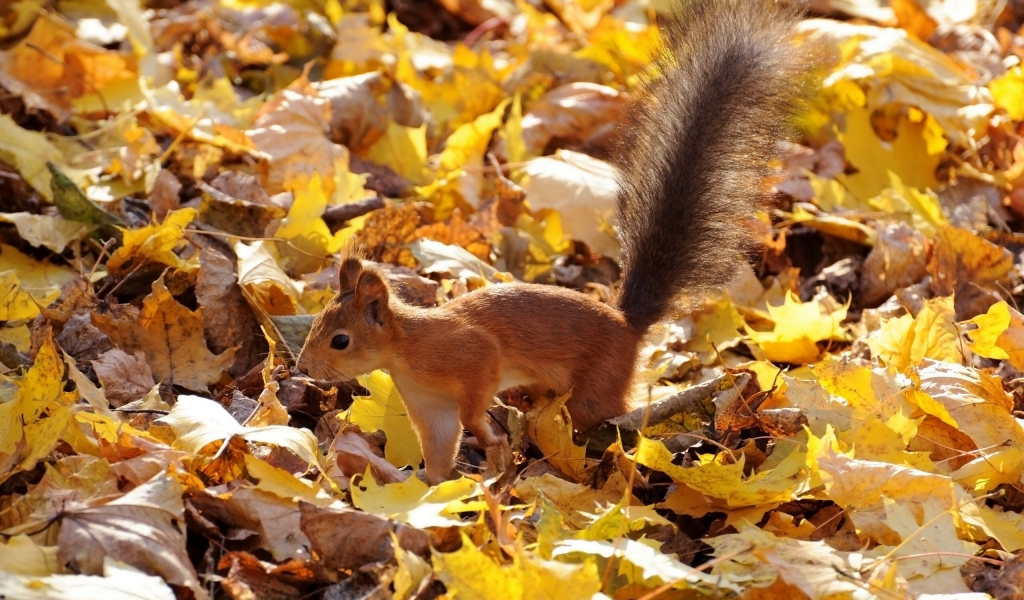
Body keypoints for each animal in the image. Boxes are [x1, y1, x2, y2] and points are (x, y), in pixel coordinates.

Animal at [296, 0, 815, 483]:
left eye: (341, 340)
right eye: (319, 322)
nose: (303, 368)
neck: (406, 349)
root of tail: (627, 326)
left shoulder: (472, 355)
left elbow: (474, 402)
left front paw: (486, 439)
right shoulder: (429, 404)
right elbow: (440, 447)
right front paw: (429, 486)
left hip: (594, 387)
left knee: (608, 419)